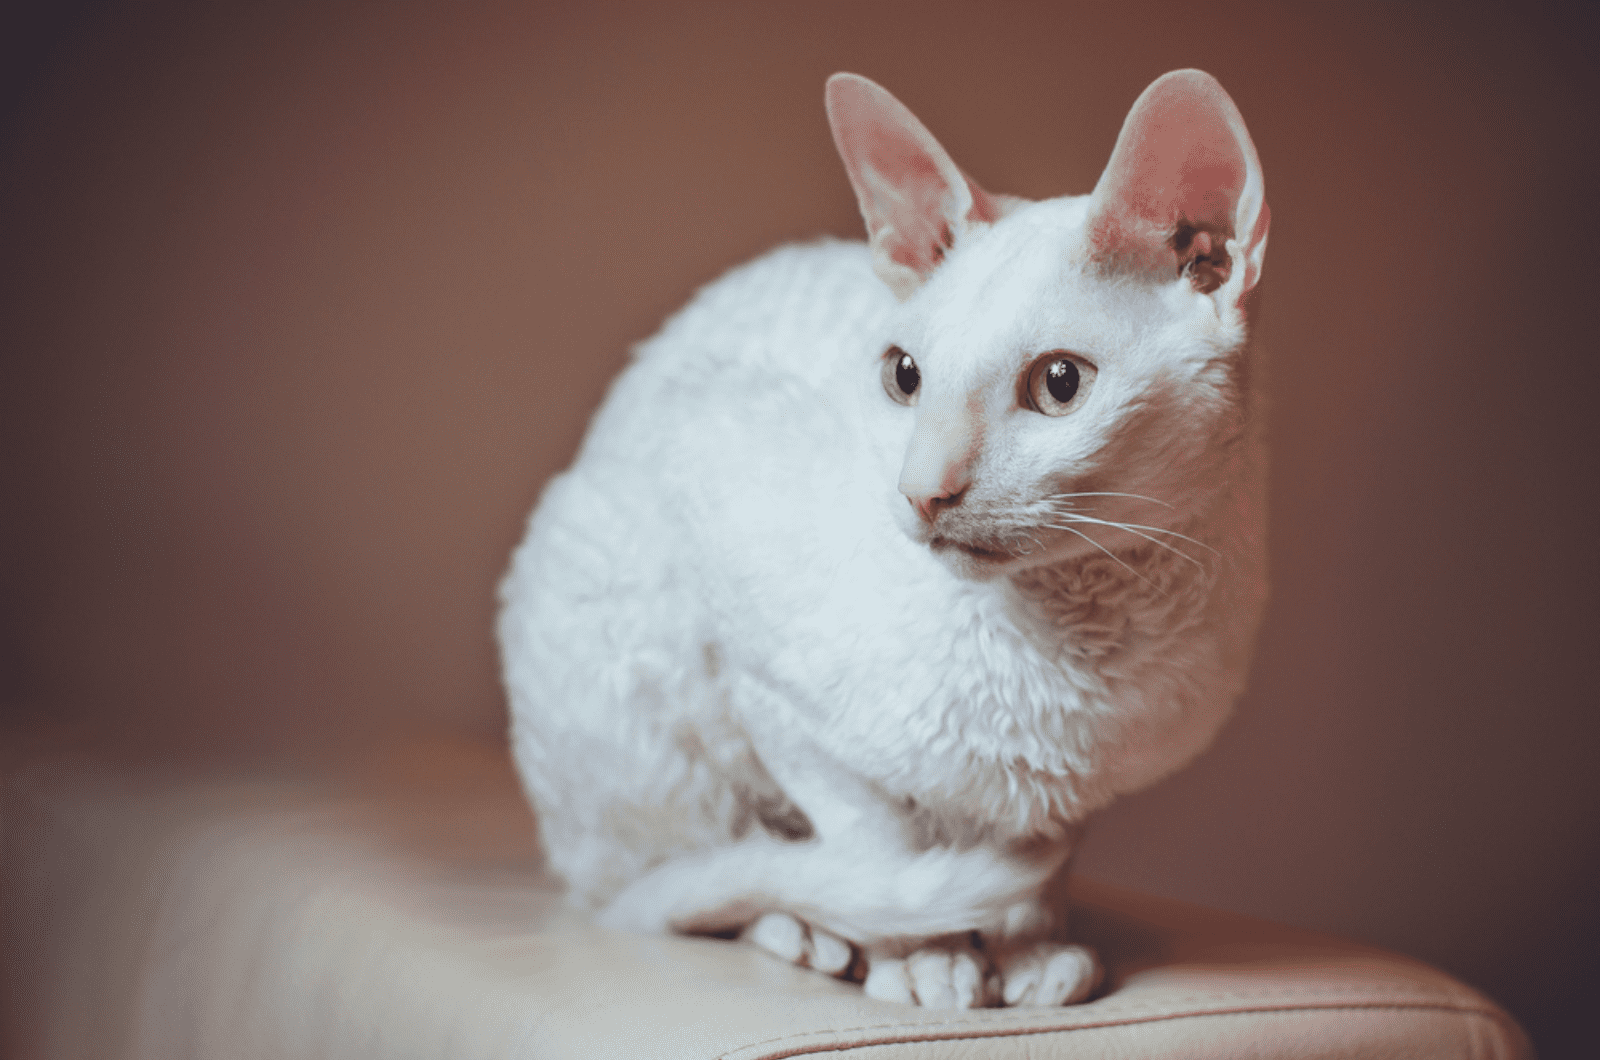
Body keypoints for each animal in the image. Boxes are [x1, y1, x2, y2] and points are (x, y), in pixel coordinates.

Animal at [492, 70, 1267, 1011]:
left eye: (1059, 384)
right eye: (904, 377)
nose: (921, 491)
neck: (1081, 648)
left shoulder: (1071, 790)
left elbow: (1036, 862)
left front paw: (1029, 952)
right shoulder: (769, 692)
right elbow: (879, 844)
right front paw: (928, 957)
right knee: (673, 883)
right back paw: (808, 930)